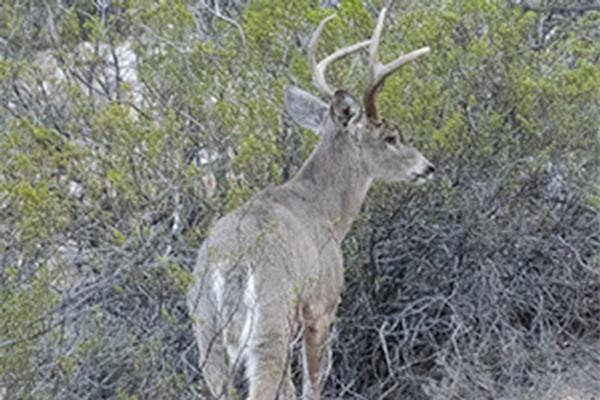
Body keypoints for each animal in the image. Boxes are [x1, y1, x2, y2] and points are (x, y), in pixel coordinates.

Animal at [185, 6, 434, 400]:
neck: (326, 211)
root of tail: (230, 266)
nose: (426, 167)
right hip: (271, 322)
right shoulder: (322, 302)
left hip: (205, 330)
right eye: (391, 137)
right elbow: (313, 381)